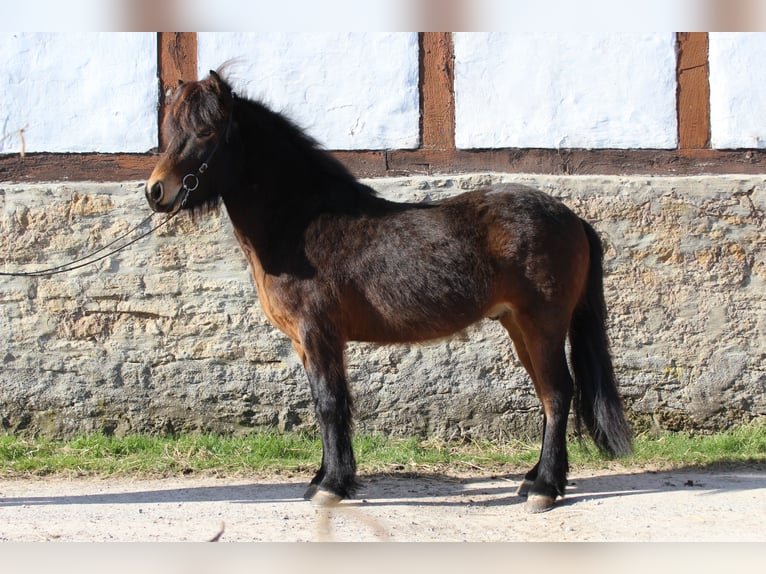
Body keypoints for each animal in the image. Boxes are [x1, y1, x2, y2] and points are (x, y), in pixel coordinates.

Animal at [145, 69, 632, 513]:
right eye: (170, 131)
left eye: (205, 131)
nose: (155, 191)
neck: (301, 225)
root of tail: (571, 217)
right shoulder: (306, 342)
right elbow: (324, 403)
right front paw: (323, 478)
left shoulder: (318, 334)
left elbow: (330, 403)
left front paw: (331, 487)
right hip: (518, 326)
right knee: (549, 396)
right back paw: (534, 480)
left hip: (542, 324)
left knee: (557, 394)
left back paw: (544, 489)